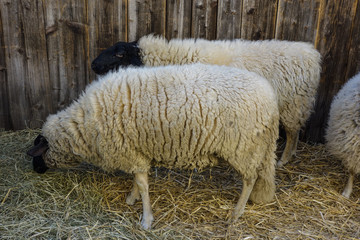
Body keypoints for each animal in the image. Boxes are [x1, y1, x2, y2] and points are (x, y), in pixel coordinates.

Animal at [28, 63, 280, 229]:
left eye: (37, 155)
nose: (35, 170)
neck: (85, 124)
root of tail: (271, 97)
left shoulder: (130, 151)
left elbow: (143, 185)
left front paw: (146, 219)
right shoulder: (134, 150)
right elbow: (137, 181)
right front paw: (132, 198)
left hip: (243, 147)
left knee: (250, 179)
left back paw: (236, 213)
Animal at [91, 35, 322, 167]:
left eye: (120, 54)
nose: (93, 64)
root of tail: (311, 54)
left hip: (293, 103)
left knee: (292, 132)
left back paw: (284, 159)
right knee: (296, 131)